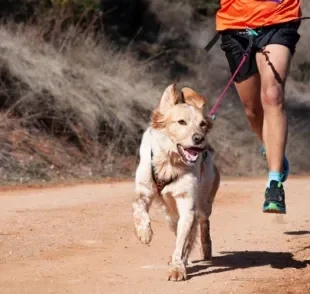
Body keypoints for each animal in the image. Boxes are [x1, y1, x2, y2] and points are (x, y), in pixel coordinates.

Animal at [132, 84, 219, 282]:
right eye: (181, 122)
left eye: (202, 124)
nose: (199, 139)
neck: (170, 161)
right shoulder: (144, 189)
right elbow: (138, 206)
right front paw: (144, 232)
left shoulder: (187, 203)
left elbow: (182, 242)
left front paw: (177, 268)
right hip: (170, 215)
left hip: (204, 201)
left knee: (203, 222)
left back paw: (205, 248)